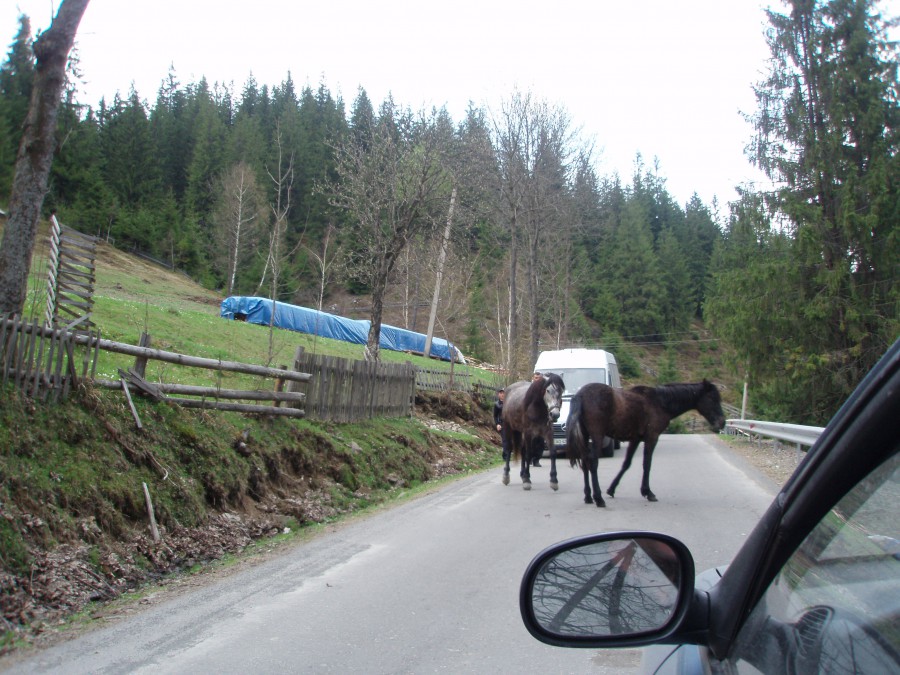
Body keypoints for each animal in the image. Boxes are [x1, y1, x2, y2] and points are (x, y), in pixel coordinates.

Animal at [568, 380, 728, 508]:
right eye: (712, 398)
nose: (722, 422)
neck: (660, 402)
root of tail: (580, 395)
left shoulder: (635, 439)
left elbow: (626, 464)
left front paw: (612, 489)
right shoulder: (652, 438)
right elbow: (647, 464)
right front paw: (648, 492)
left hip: (585, 437)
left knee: (585, 462)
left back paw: (588, 496)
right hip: (597, 436)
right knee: (593, 462)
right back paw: (598, 498)